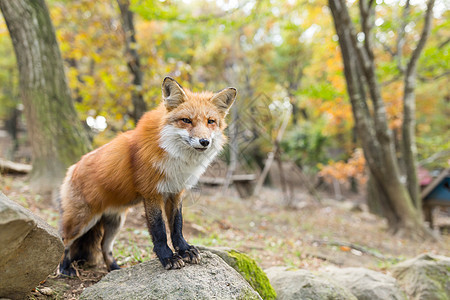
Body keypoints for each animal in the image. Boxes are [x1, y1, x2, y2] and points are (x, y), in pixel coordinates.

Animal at [58, 77, 237, 274]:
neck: (173, 155)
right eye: (186, 120)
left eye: (210, 121)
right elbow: (159, 230)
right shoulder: (152, 193)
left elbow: (177, 226)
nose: (204, 141)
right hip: (82, 220)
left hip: (115, 222)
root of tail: (73, 167)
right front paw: (168, 257)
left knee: (105, 246)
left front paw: (184, 250)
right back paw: (64, 268)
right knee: (64, 240)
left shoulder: (175, 192)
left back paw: (115, 269)